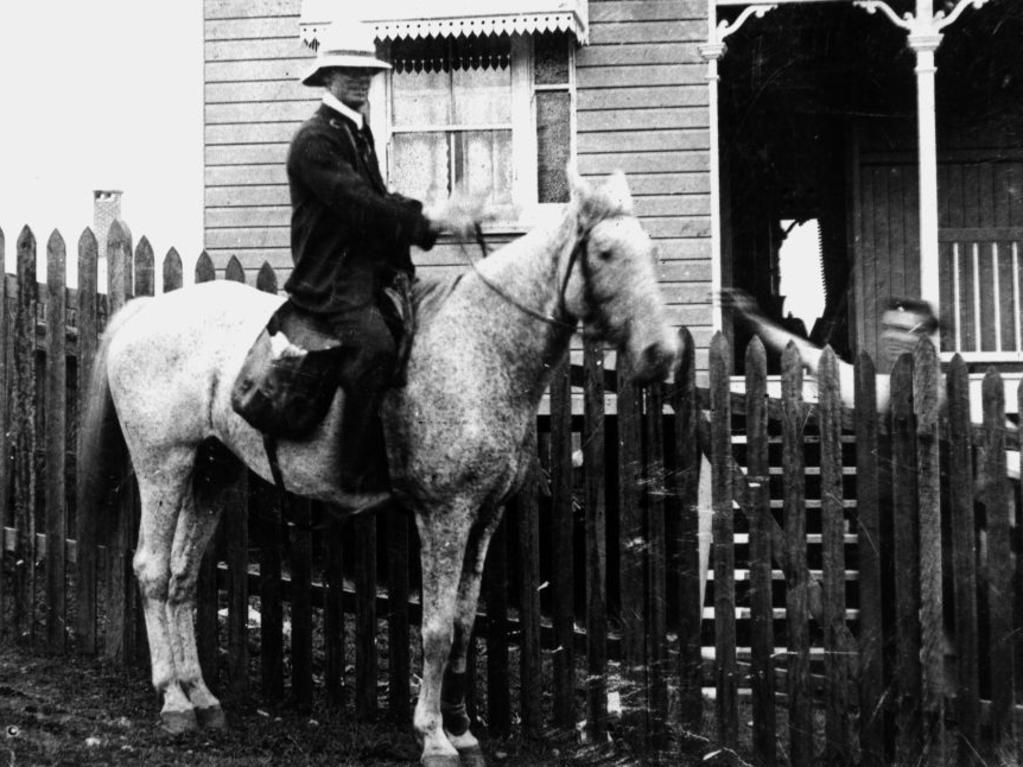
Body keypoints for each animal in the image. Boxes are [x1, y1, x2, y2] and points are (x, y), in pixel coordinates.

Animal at [81, 172, 679, 767]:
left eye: (652, 252)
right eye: (604, 253)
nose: (662, 354)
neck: (479, 346)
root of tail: (145, 311)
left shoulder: (483, 518)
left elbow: (464, 624)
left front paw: (463, 730)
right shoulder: (445, 516)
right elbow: (436, 629)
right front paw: (434, 737)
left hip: (213, 471)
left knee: (182, 576)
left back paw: (201, 696)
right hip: (164, 465)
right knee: (152, 570)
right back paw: (173, 700)